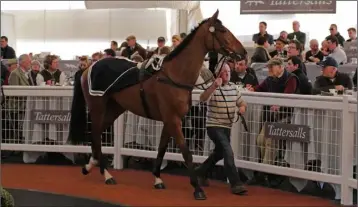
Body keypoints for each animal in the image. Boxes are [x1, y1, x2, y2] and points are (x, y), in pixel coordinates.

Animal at [68, 10, 246, 201]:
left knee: (97, 134)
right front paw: (197, 188)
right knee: (94, 133)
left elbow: (161, 149)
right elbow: (186, 152)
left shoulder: (169, 121)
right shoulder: (173, 120)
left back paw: (90, 165)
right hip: (98, 107)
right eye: (222, 30)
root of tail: (88, 68)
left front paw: (158, 179)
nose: (243, 52)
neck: (174, 75)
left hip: (115, 108)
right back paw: (106, 174)